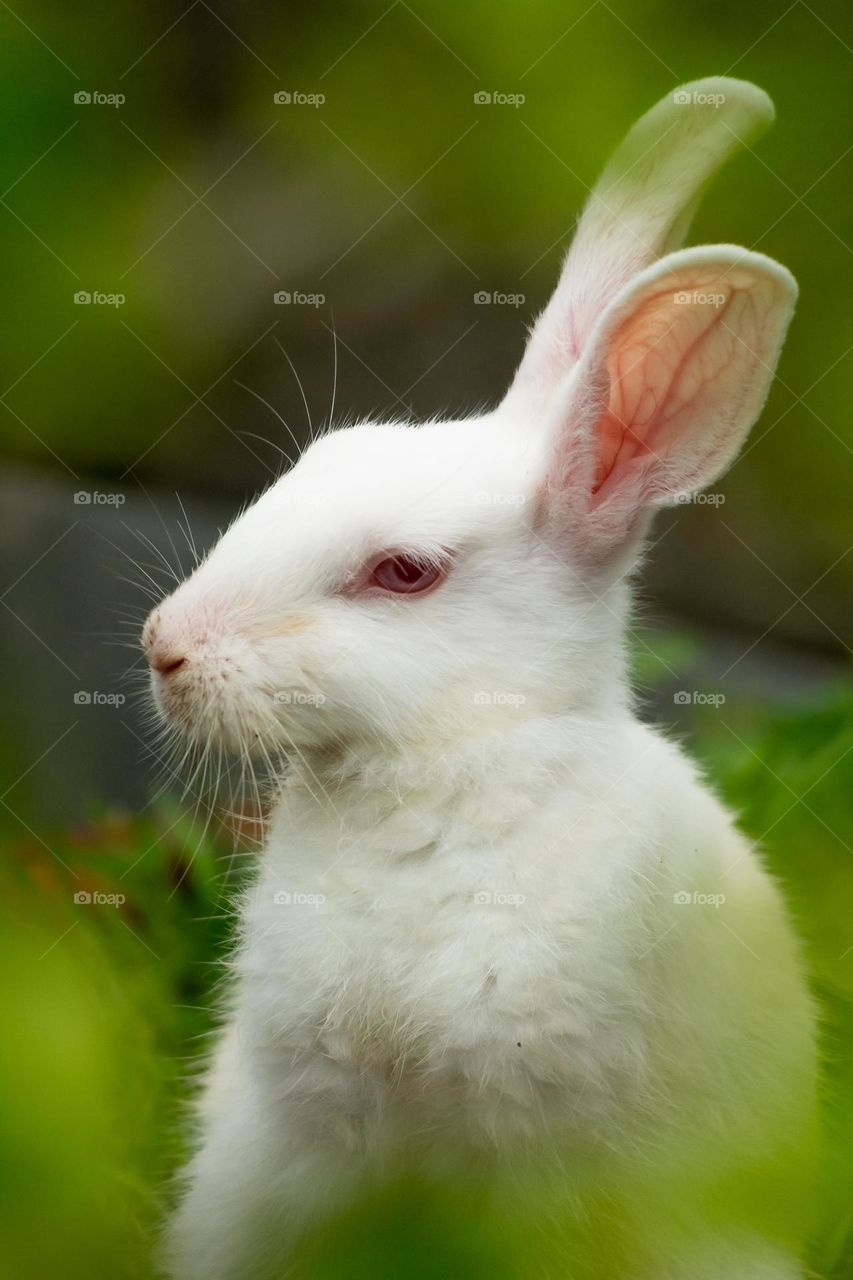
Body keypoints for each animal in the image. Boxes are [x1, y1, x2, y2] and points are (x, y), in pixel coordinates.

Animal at [145, 76, 818, 1280]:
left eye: (402, 572)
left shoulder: (533, 1156)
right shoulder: (300, 1140)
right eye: (317, 459)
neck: (439, 778)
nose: (163, 645)